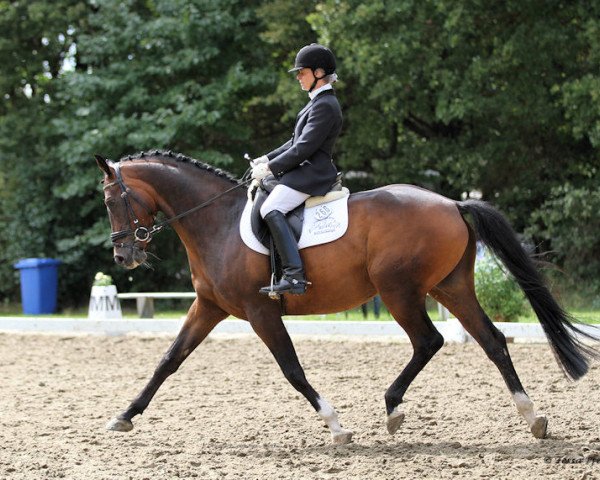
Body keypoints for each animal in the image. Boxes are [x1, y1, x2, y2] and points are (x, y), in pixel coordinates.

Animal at [95, 152, 596, 444]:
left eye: (112, 201)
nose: (123, 255)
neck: (215, 221)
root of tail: (453, 203)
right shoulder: (209, 307)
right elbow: (168, 361)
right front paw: (124, 416)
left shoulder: (260, 311)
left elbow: (292, 370)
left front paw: (336, 426)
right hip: (449, 287)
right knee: (492, 340)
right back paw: (533, 417)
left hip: (399, 290)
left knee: (429, 341)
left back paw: (393, 408)